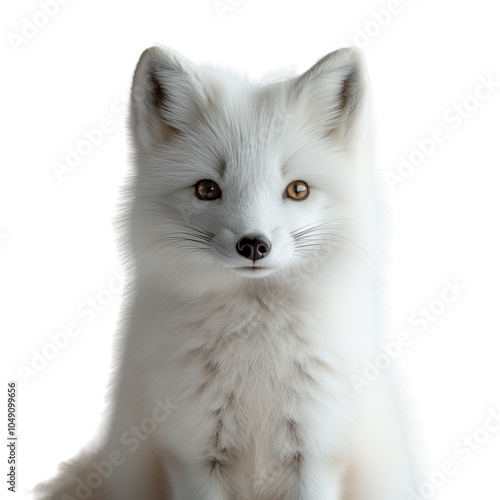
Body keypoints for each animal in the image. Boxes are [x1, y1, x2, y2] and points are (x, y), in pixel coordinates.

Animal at [36, 46, 418, 500]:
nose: (253, 245)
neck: (256, 351)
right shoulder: (192, 456)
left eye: (298, 190)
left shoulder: (317, 456)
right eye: (207, 189)